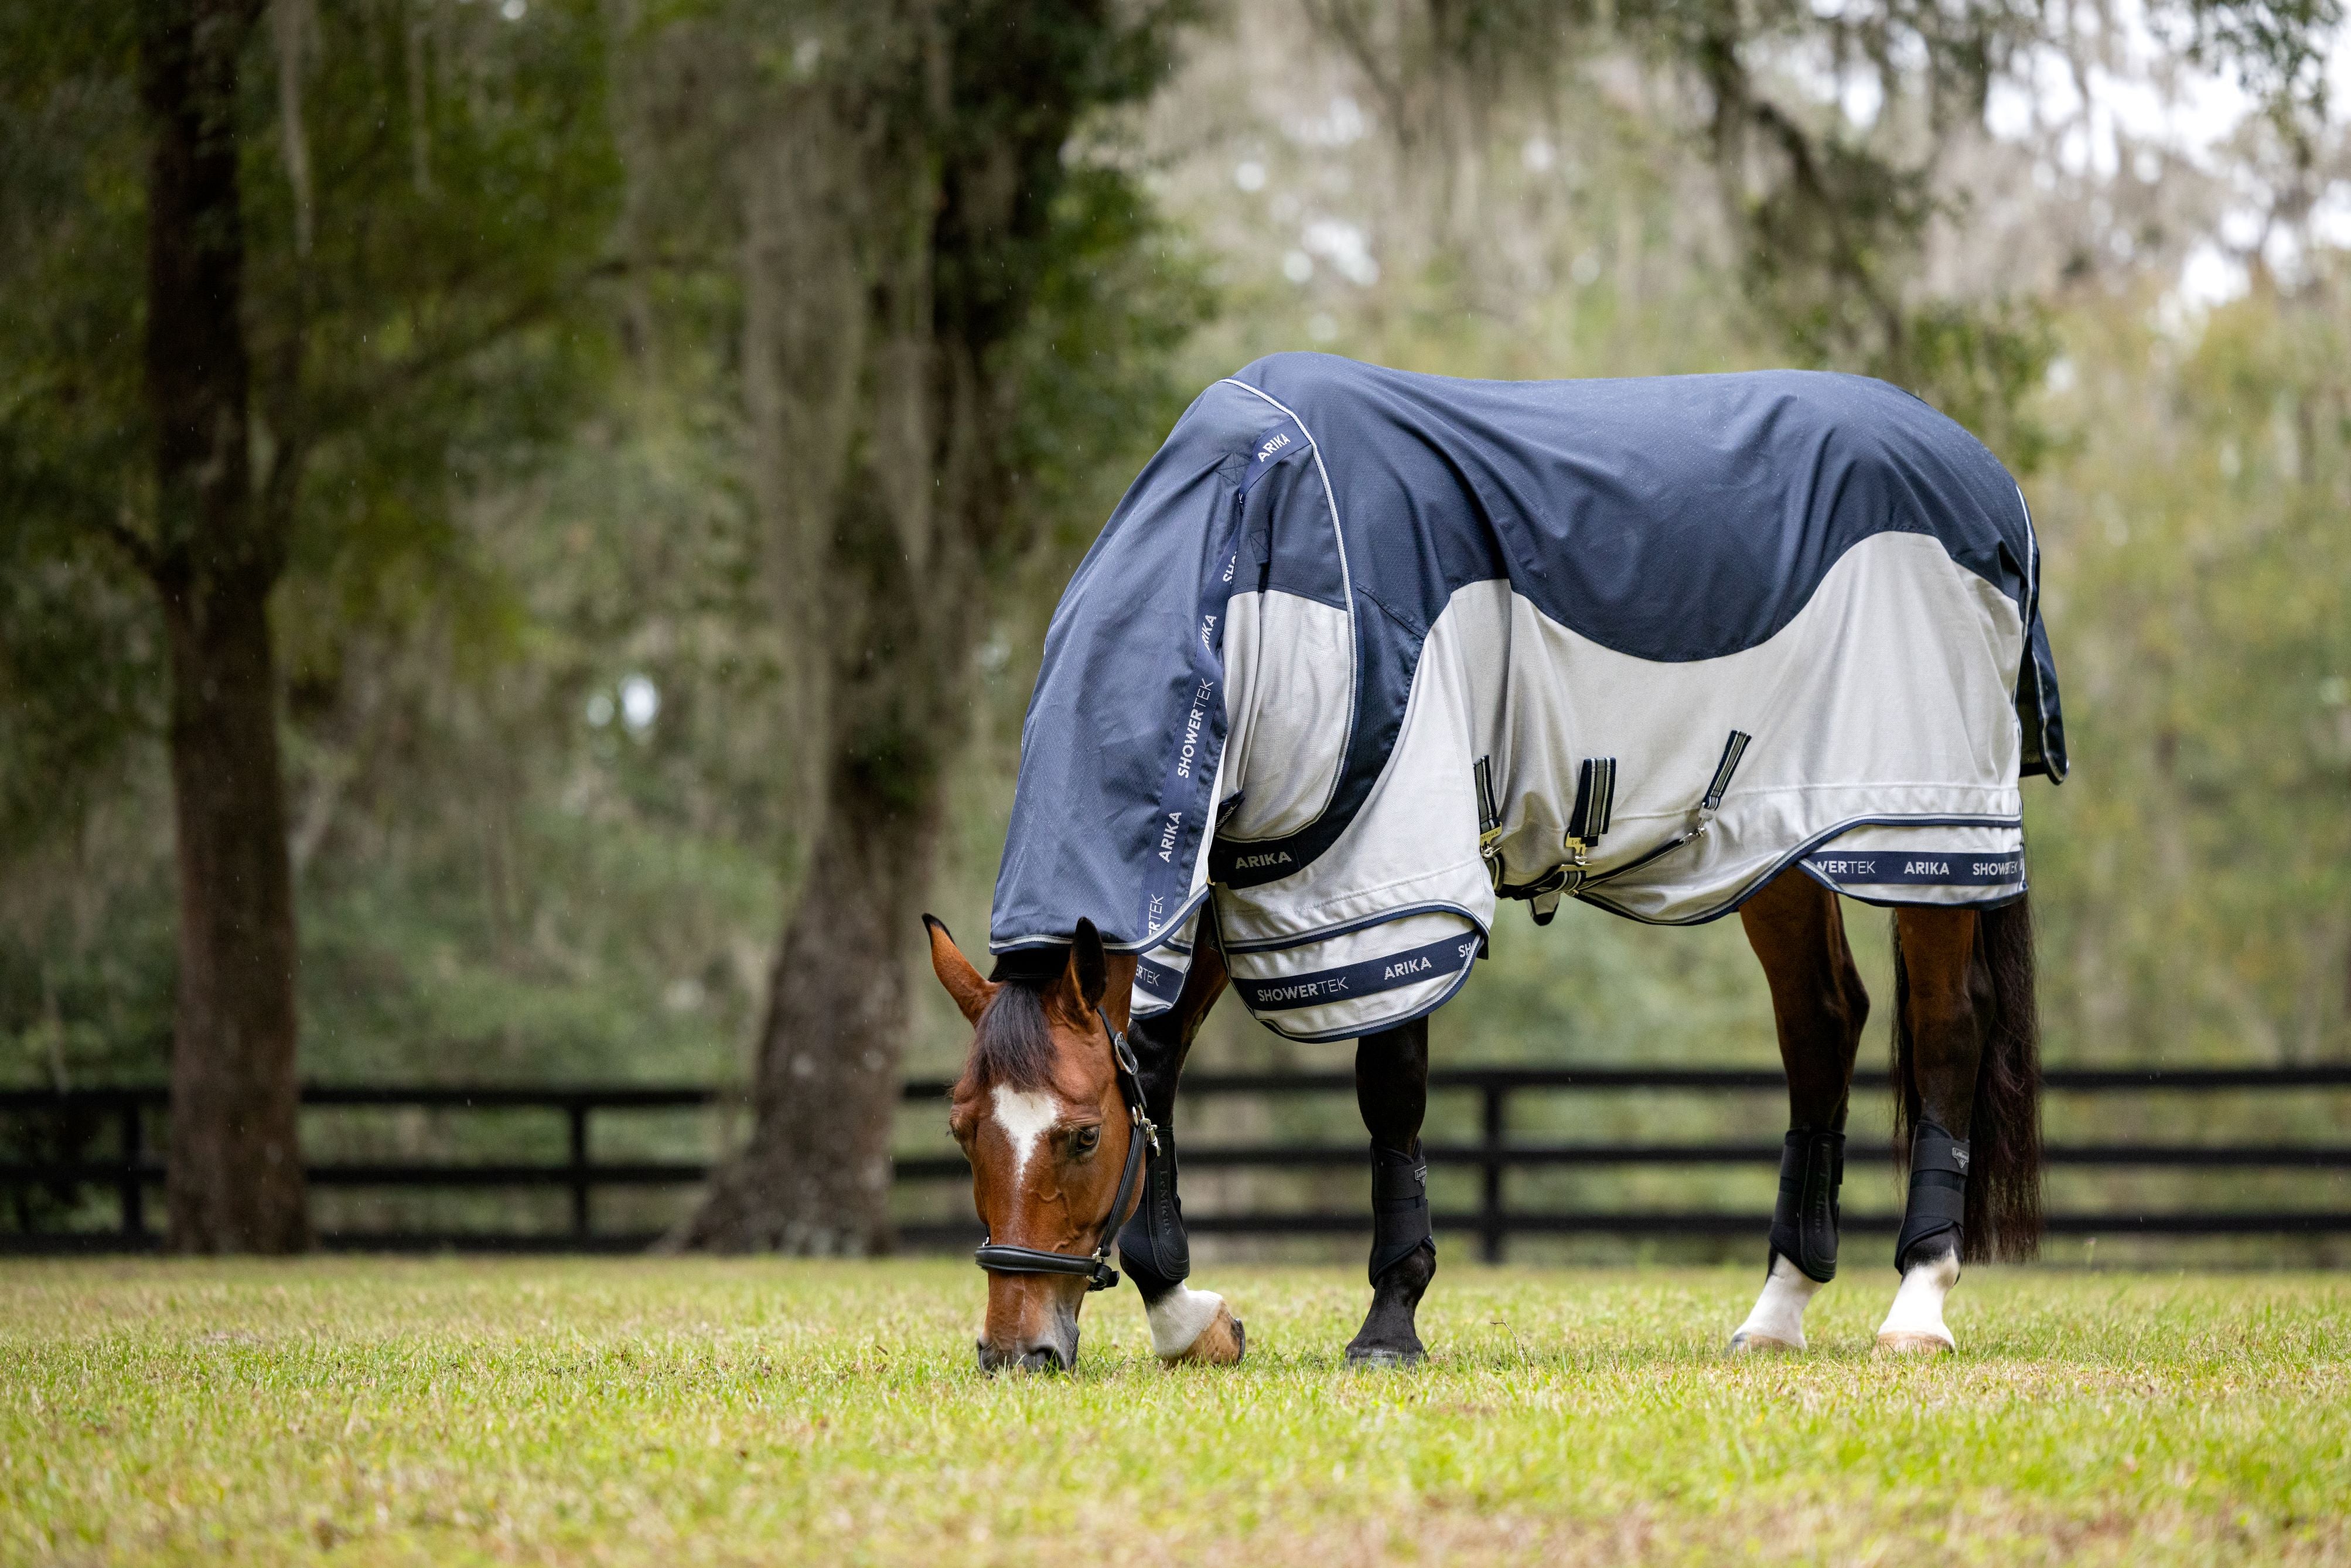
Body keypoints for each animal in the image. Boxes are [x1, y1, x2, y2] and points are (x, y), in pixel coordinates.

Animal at [935, 353, 2060, 1372]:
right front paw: (1188, 1316)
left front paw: (1388, 1325)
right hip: (1777, 849)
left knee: (1948, 1031)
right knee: (1822, 1025)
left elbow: (1389, 1089)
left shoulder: (1386, 877)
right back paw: (1777, 1312)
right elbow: (1156, 1062)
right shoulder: (1235, 863)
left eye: (1082, 1137)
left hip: (1925, 838)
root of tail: (1979, 471)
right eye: (961, 1130)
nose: (1016, 1351)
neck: (1262, 557)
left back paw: (1916, 1306)